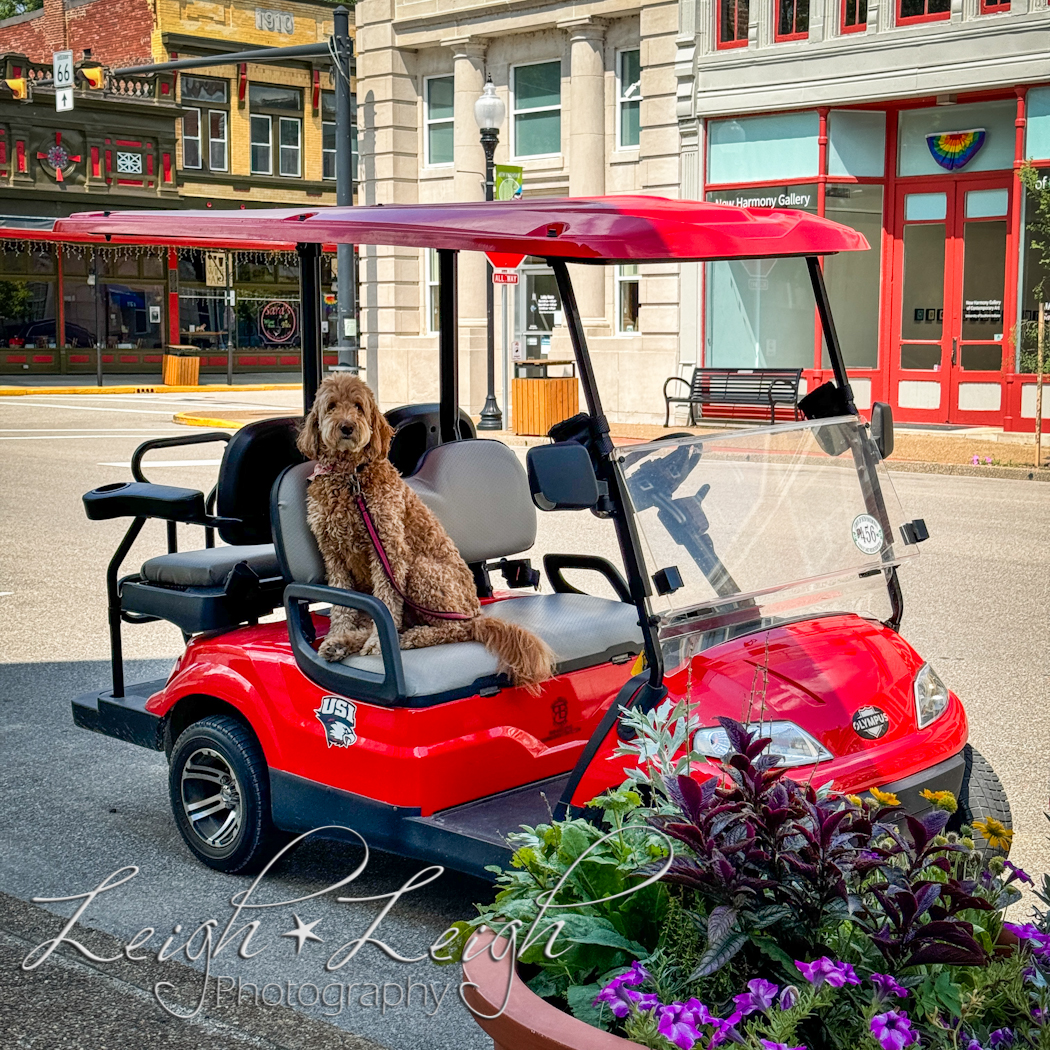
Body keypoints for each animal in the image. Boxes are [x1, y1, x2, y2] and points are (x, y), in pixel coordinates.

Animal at [296, 375, 554, 688]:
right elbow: (341, 607)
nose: (347, 427)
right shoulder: (334, 556)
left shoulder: (389, 550)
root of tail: (476, 612)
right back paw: (342, 643)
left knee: (455, 630)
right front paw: (338, 635)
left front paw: (378, 644)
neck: (351, 476)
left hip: (422, 572)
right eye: (332, 405)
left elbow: (386, 602)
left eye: (358, 406)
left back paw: (406, 638)